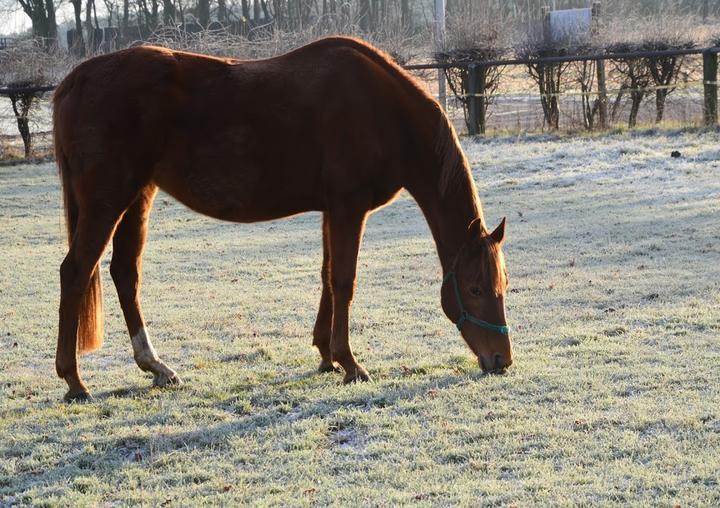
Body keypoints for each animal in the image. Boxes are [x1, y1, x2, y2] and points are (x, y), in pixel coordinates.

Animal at [52, 36, 512, 400]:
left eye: (502, 286)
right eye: (474, 289)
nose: (501, 360)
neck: (382, 111)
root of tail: (76, 79)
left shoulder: (333, 210)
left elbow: (327, 277)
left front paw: (326, 356)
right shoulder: (348, 208)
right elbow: (344, 281)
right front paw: (351, 364)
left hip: (138, 197)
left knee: (125, 274)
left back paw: (156, 367)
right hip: (109, 201)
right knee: (76, 272)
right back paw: (74, 381)